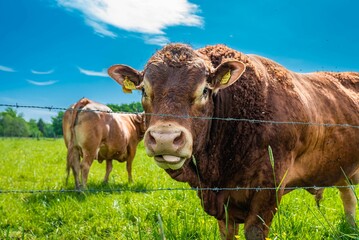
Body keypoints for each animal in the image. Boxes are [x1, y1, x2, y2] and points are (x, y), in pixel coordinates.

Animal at [107, 44, 359, 239]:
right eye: (143, 91)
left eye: (205, 90)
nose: (165, 139)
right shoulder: (223, 203)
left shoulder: (270, 187)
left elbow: (254, 231)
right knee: (348, 198)